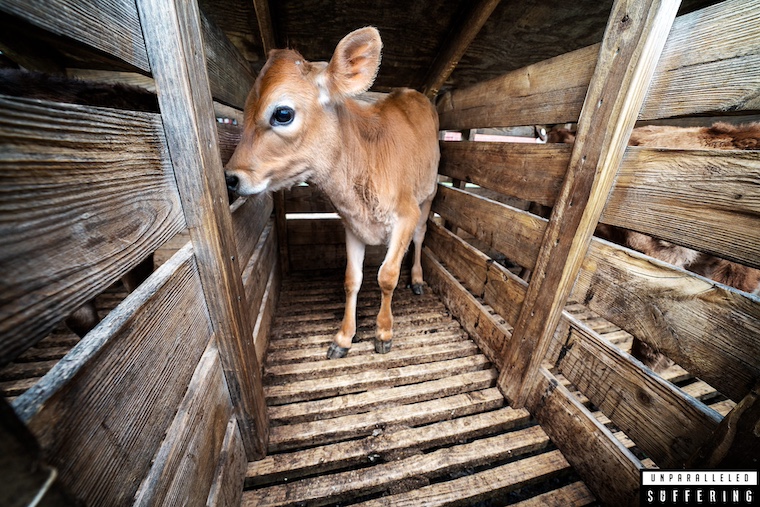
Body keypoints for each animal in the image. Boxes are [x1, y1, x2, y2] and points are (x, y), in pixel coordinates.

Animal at [224, 27, 440, 359]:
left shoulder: (406, 214)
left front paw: (384, 331)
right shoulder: (352, 225)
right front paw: (343, 337)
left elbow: (387, 275)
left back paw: (416, 278)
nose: (231, 178)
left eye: (282, 113)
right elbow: (352, 279)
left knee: (420, 235)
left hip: (428, 195)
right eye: (245, 110)